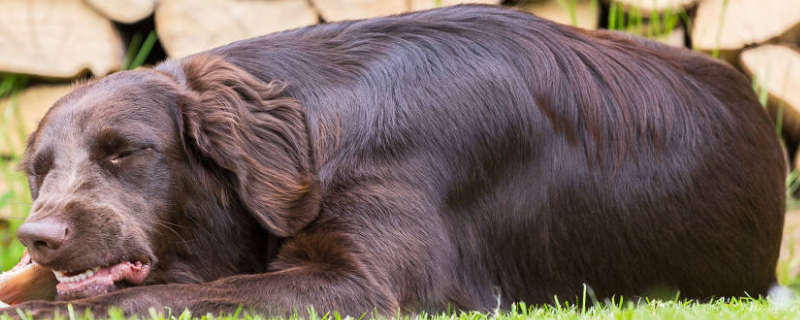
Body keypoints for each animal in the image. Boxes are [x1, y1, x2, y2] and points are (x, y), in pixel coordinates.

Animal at [0, 3, 788, 318]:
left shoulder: (364, 287)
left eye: (126, 153)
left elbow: (177, 295)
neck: (314, 138)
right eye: (38, 172)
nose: (36, 237)